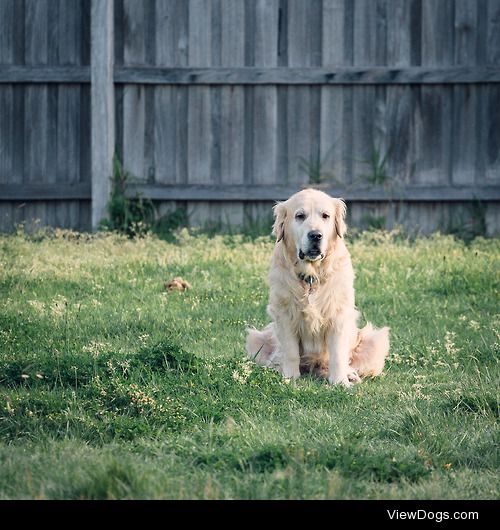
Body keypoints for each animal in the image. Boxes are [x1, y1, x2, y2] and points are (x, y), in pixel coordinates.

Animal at [246, 188, 390, 386]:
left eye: (325, 216)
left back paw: (349, 374)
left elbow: (337, 354)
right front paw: (290, 378)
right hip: (256, 339)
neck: (311, 277)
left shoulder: (338, 315)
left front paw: (340, 382)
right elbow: (290, 352)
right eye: (300, 216)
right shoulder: (284, 314)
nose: (316, 235)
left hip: (375, 341)